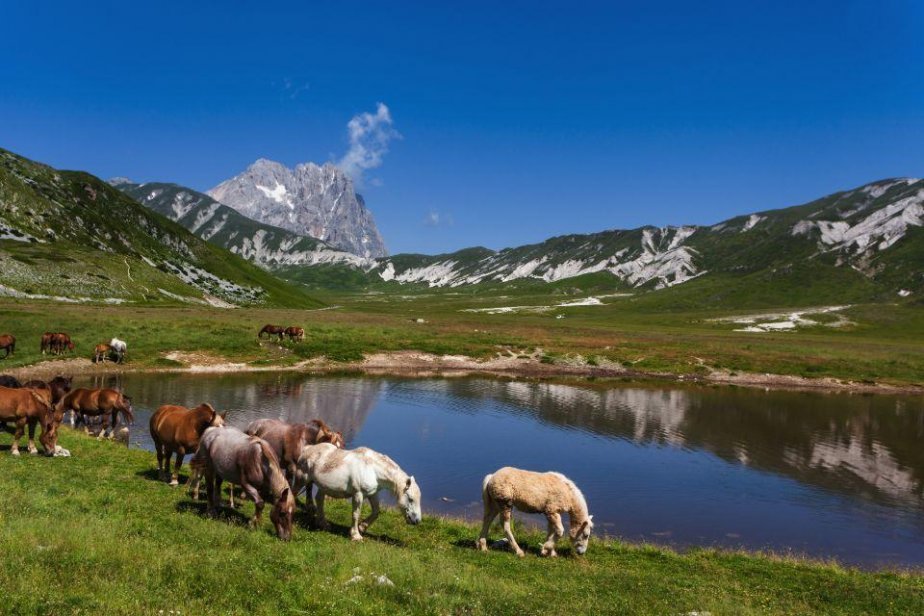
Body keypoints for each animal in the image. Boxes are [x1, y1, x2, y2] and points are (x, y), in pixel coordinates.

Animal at [292, 442, 422, 540]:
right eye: (410, 499)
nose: (416, 520)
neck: (373, 469)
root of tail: (307, 449)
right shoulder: (358, 494)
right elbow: (355, 514)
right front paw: (355, 535)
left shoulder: (373, 494)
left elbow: (376, 512)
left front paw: (362, 527)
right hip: (301, 479)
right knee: (293, 493)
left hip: (323, 487)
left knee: (319, 500)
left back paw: (323, 524)